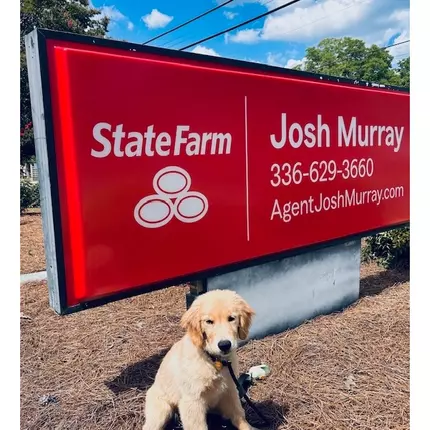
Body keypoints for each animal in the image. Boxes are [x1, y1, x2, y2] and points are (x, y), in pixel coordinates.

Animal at [143, 288, 255, 430]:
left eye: (231, 318)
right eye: (209, 321)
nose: (224, 345)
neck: (213, 360)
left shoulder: (229, 389)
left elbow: (239, 415)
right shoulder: (192, 400)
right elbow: (198, 426)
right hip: (161, 410)